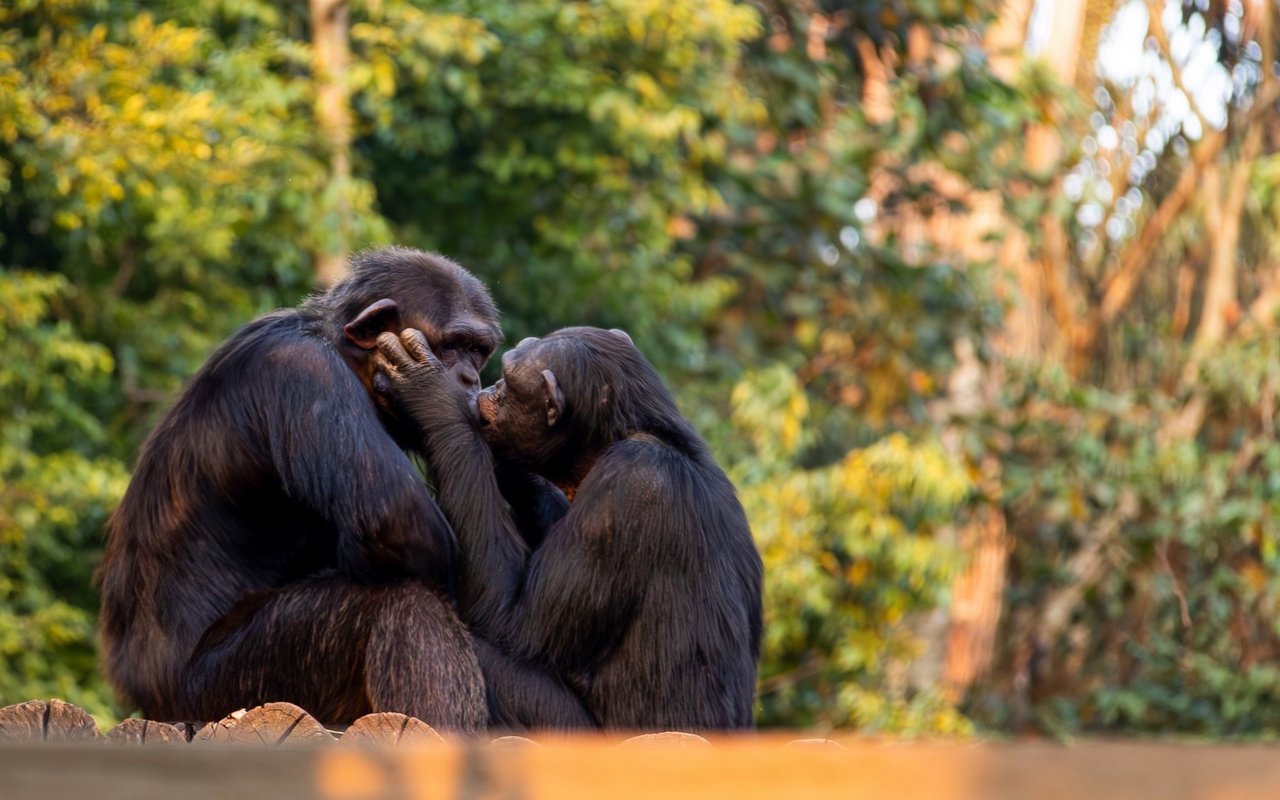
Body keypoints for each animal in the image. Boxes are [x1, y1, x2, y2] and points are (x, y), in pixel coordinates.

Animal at [93, 247, 494, 727]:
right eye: (452, 346)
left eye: (478, 351)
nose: (470, 379)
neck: (340, 353)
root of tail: (147, 703)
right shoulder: (305, 371)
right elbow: (396, 517)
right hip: (228, 686)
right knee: (404, 601)